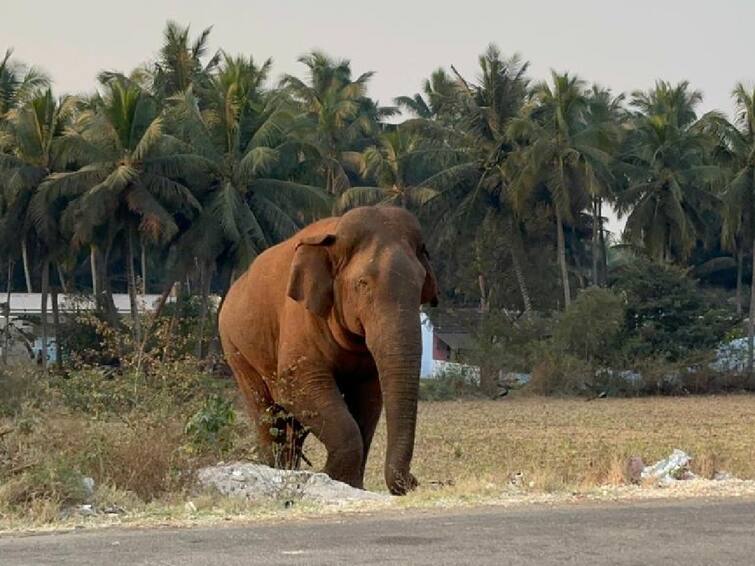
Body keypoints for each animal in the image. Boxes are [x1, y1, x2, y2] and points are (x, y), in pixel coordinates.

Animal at [217, 206, 438, 494]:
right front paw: (333, 477)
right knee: (268, 415)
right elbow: (294, 387)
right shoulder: (299, 317)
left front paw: (349, 484)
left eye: (421, 284)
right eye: (363, 283)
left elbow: (368, 400)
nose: (413, 481)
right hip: (236, 350)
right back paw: (275, 469)